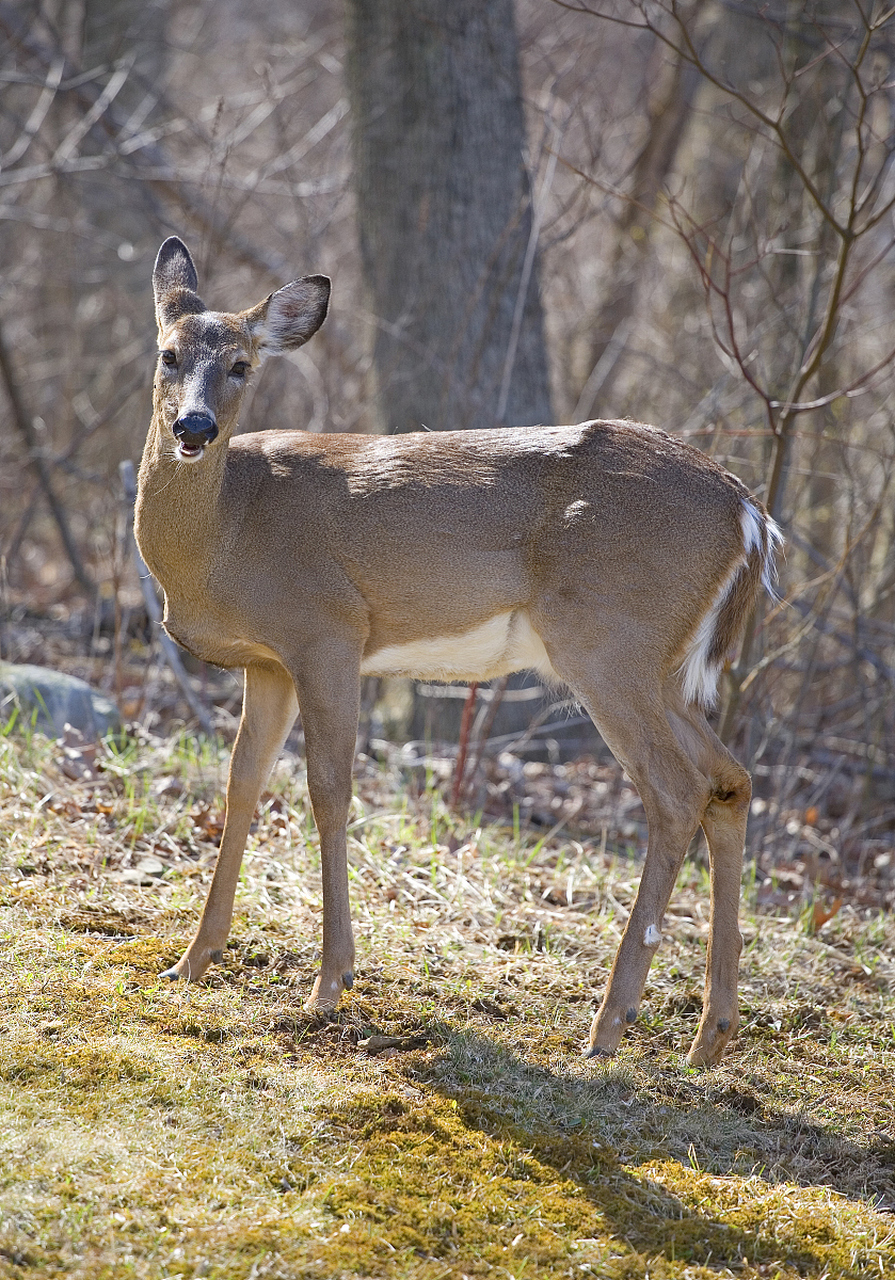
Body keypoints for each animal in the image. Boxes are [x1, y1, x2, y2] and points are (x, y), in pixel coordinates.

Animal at [135, 235, 783, 1064]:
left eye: (242, 364)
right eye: (168, 352)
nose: (193, 427)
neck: (228, 531)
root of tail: (749, 514)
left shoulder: (328, 630)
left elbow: (329, 790)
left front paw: (330, 982)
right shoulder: (268, 662)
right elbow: (242, 785)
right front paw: (192, 959)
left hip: (607, 642)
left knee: (674, 792)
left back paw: (607, 1026)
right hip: (663, 668)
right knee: (729, 781)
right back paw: (710, 1034)